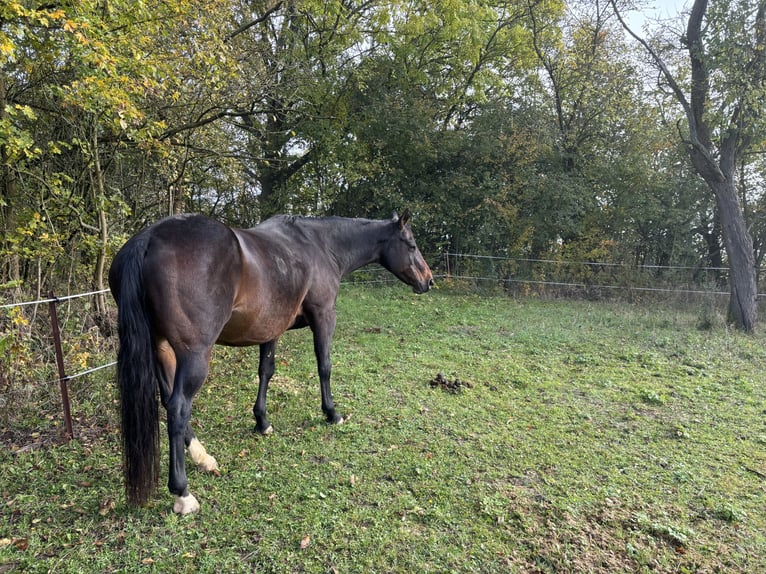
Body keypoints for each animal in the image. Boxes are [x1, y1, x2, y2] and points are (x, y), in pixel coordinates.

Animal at [109, 213, 436, 516]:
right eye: (411, 244)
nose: (429, 280)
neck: (321, 245)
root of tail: (149, 238)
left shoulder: (270, 329)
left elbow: (266, 371)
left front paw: (262, 421)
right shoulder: (324, 316)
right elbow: (324, 365)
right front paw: (332, 412)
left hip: (162, 349)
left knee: (168, 401)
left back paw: (203, 458)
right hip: (193, 356)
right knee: (178, 407)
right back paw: (183, 494)